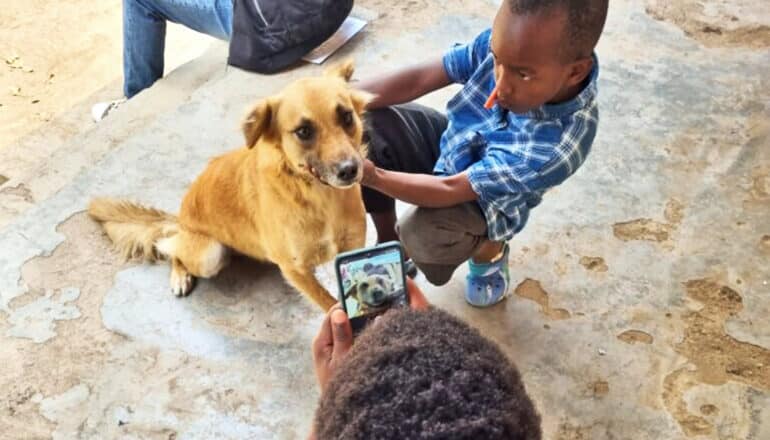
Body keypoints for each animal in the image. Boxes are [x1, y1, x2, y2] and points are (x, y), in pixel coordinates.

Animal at [88, 61, 370, 310]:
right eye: (303, 131)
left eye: (346, 116)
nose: (349, 170)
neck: (319, 197)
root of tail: (181, 220)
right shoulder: (295, 268)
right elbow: (329, 305)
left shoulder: (353, 246)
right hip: (209, 255)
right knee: (171, 247)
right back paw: (180, 275)